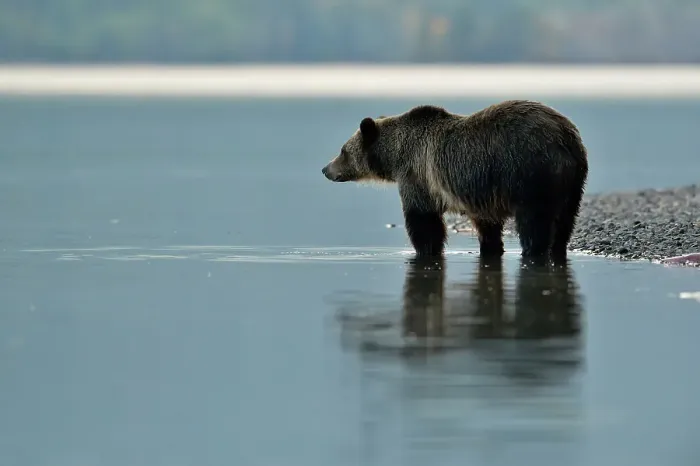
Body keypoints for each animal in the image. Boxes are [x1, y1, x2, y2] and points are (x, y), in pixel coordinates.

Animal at [321, 100, 589, 260]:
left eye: (343, 151)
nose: (325, 169)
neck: (396, 155)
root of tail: (565, 137)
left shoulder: (418, 175)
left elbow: (423, 221)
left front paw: (426, 250)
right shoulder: (481, 193)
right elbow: (487, 225)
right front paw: (491, 247)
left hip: (530, 173)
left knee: (534, 221)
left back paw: (533, 251)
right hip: (574, 182)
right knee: (565, 221)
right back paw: (557, 249)